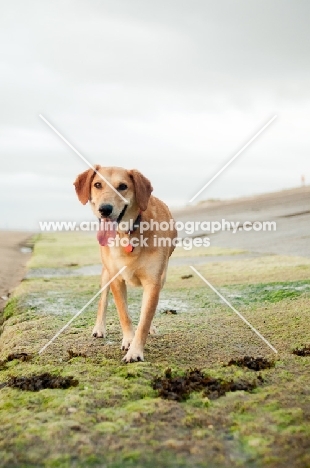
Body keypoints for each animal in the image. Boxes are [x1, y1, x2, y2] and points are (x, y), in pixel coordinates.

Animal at [74, 166, 177, 364]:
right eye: (97, 185)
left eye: (123, 186)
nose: (105, 209)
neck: (127, 234)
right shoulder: (116, 279)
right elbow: (123, 313)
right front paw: (129, 340)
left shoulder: (153, 282)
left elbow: (145, 319)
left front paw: (135, 351)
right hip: (106, 273)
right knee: (103, 300)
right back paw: (99, 328)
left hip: (163, 277)